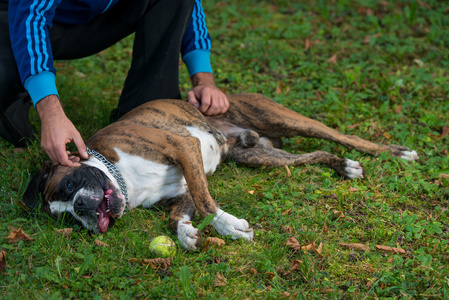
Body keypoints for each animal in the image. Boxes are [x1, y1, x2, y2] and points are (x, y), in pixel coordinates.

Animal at [22, 93, 418, 248]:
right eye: (68, 218)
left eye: (71, 184)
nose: (81, 208)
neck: (123, 179)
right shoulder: (181, 189)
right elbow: (178, 215)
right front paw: (187, 236)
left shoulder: (183, 148)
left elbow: (206, 200)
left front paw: (228, 226)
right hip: (263, 157)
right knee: (316, 154)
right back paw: (343, 166)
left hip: (283, 118)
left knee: (340, 135)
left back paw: (396, 152)